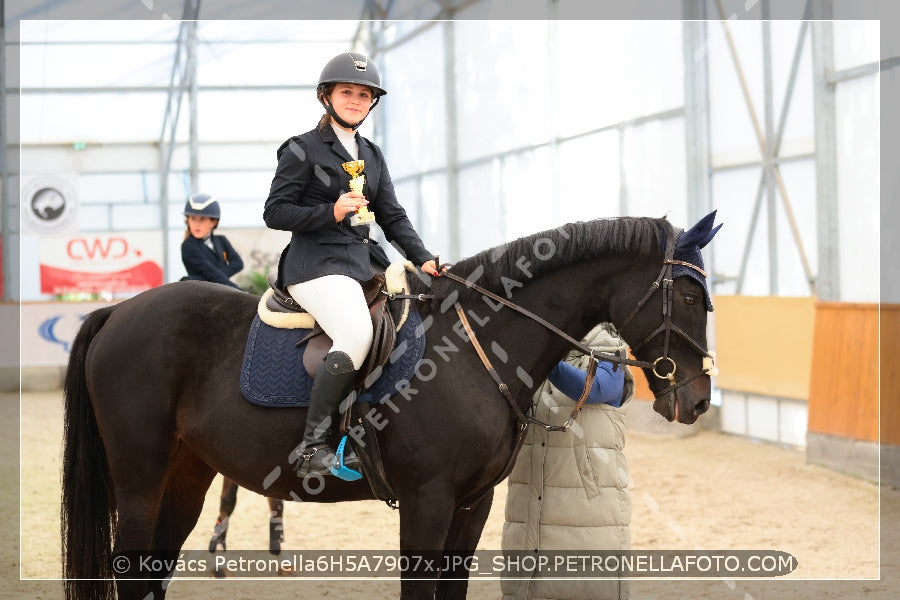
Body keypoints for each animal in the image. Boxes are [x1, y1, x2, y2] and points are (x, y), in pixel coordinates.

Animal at [59, 214, 720, 600]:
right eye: (691, 296)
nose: (698, 399)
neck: (475, 348)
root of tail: (117, 311)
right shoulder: (428, 500)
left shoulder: (472, 504)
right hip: (140, 480)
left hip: (184, 477)